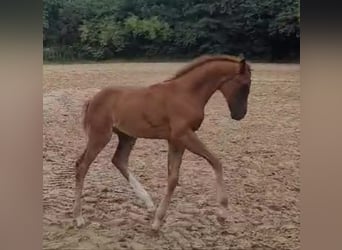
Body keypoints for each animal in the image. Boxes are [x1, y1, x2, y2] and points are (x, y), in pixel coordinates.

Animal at [72, 54, 252, 230]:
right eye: (244, 85)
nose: (240, 114)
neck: (186, 93)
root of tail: (92, 100)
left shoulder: (176, 140)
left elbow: (173, 178)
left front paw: (158, 220)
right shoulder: (184, 135)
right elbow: (215, 162)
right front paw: (222, 212)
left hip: (127, 136)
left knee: (119, 160)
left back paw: (148, 202)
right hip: (100, 135)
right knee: (82, 166)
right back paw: (78, 217)